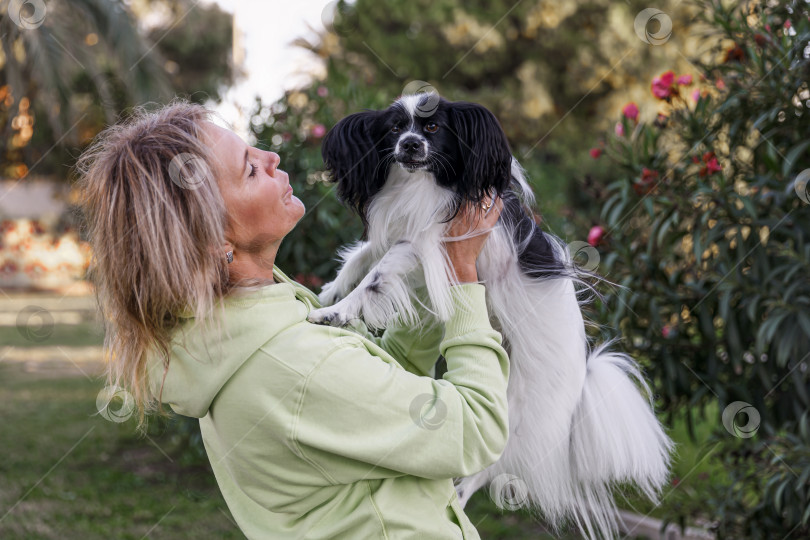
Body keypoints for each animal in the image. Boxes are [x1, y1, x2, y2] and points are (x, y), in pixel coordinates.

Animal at [306, 95, 672, 536]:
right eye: (394, 130)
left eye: (432, 129)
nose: (410, 145)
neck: (421, 184)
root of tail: (583, 375)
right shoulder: (410, 239)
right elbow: (361, 257)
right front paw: (329, 291)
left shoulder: (427, 241)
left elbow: (377, 274)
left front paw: (335, 312)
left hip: (515, 414)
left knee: (486, 467)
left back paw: (459, 498)